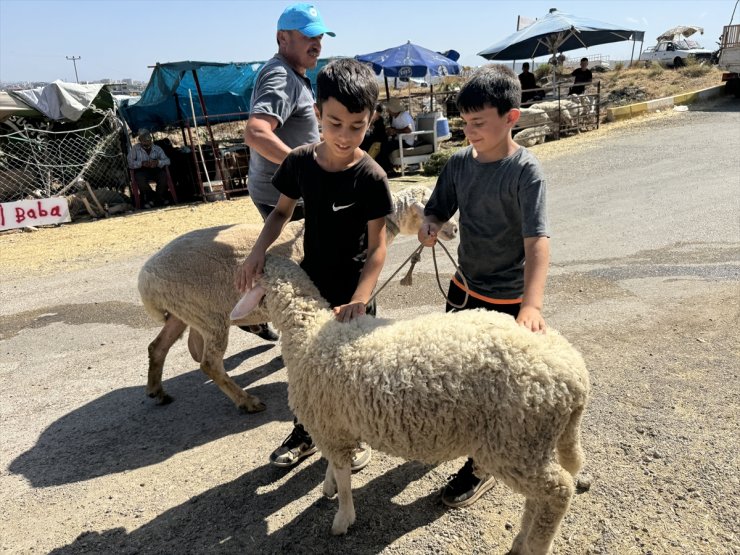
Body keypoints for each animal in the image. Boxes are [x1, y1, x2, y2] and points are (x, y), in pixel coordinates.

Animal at [135, 186, 454, 412]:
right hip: (208, 313)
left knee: (157, 347)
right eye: (427, 209)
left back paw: (157, 392)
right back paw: (247, 402)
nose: (454, 230)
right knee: (210, 364)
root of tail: (145, 280)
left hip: (184, 310)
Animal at [234, 254, 592, 552]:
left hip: (515, 440)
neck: (308, 332)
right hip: (528, 442)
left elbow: (344, 478)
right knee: (542, 495)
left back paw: (534, 546)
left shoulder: (327, 425)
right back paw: (520, 541)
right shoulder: (336, 425)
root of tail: (576, 374)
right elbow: (334, 466)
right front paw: (329, 486)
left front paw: (342, 518)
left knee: (558, 490)